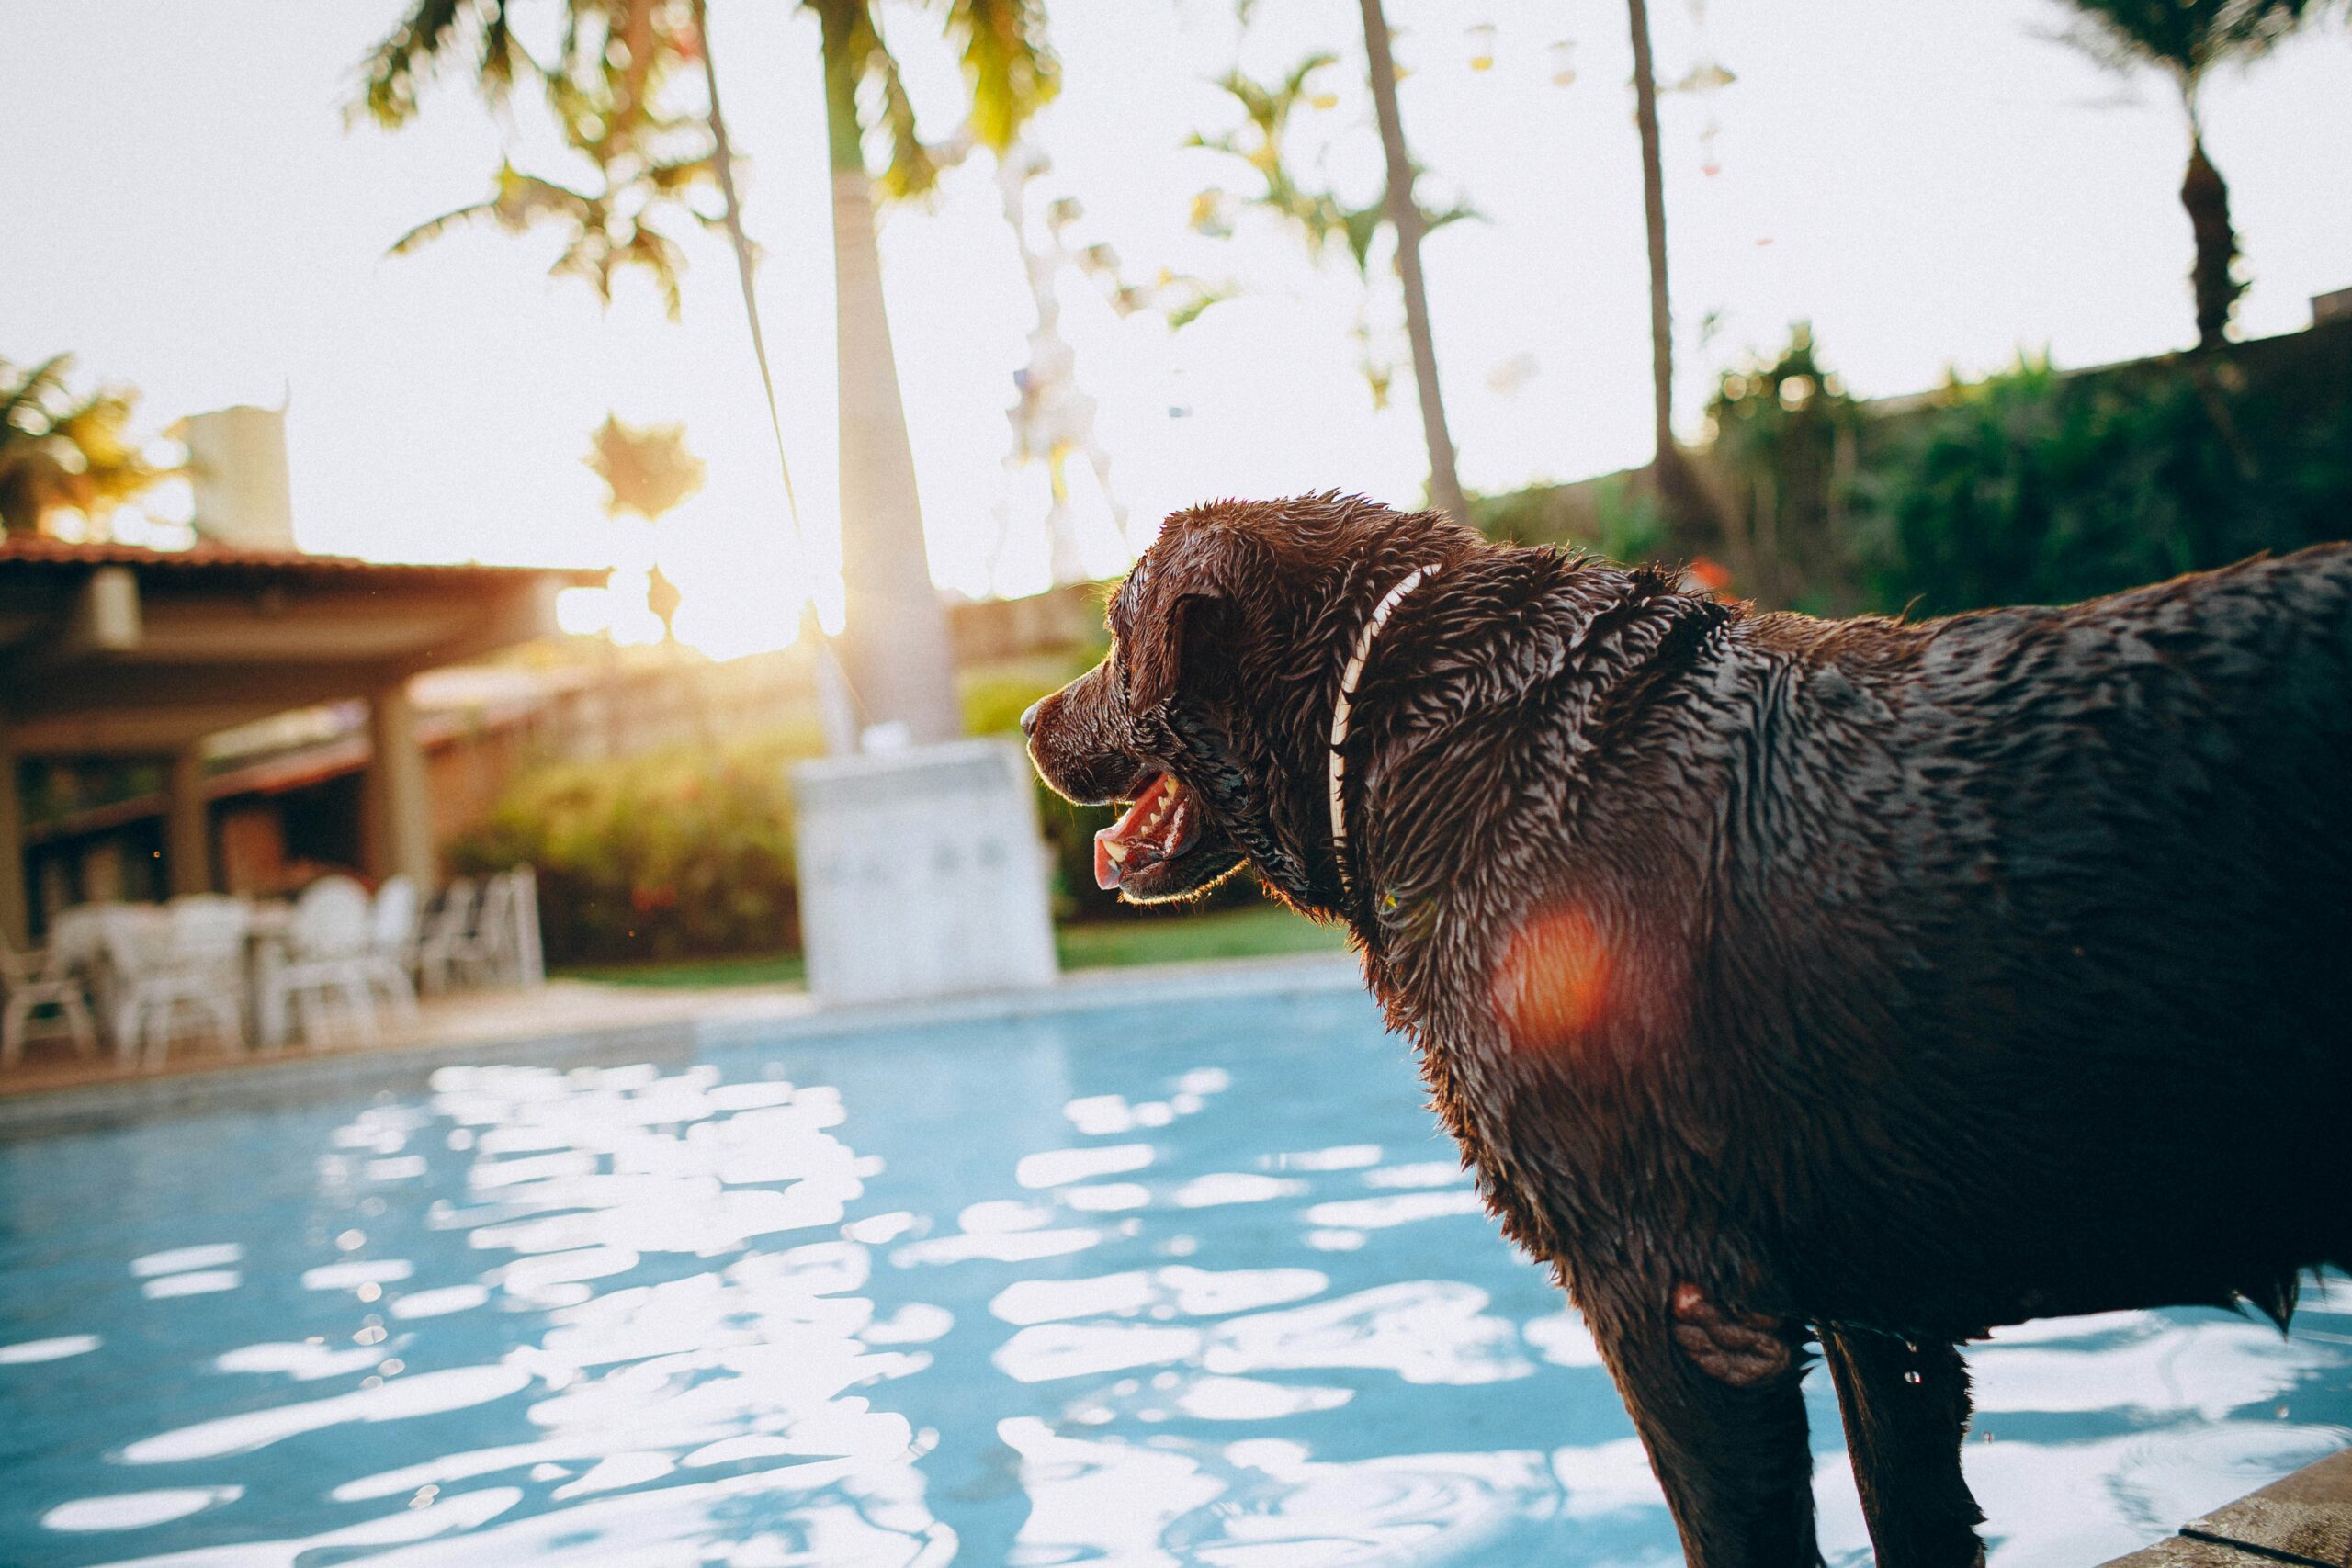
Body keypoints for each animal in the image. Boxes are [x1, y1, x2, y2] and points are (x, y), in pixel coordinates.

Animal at [1025, 495, 2352, 1568]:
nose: (1033, 716)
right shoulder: (1879, 1310)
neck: (1430, 732)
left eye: (1115, 636)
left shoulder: (1669, 1294)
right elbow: (1912, 1512)